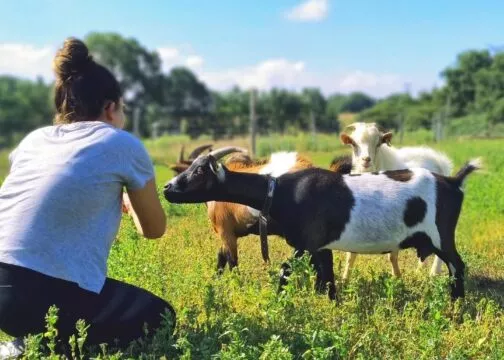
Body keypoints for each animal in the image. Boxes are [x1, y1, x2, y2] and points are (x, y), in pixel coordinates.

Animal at [164, 155, 480, 300]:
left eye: (199, 171)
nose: (167, 188)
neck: (279, 191)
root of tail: (453, 182)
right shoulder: (316, 246)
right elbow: (319, 278)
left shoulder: (311, 243)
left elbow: (292, 271)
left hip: (441, 235)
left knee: (457, 265)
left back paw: (457, 302)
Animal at [338, 122, 452, 280]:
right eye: (354, 144)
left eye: (378, 143)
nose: (366, 160)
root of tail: (438, 160)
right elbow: (351, 254)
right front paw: (345, 279)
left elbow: (392, 256)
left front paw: (397, 277)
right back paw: (419, 270)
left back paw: (434, 272)